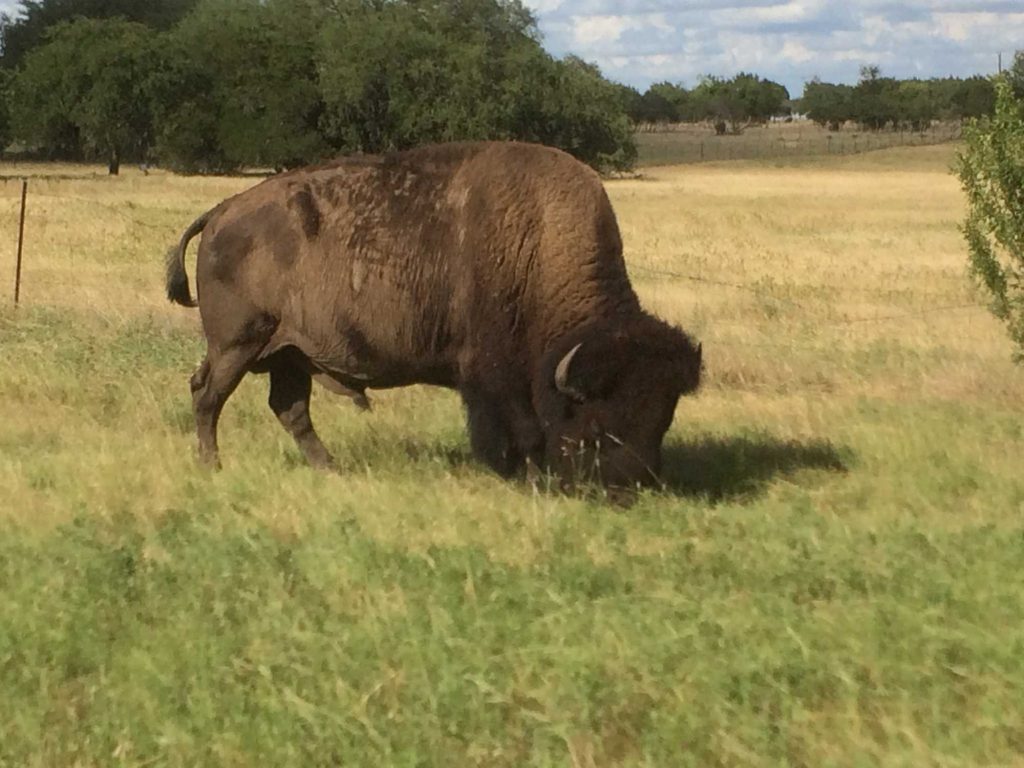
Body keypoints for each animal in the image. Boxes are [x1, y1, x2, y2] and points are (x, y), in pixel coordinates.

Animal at [166, 141, 702, 490]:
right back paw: (212, 467)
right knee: (208, 396)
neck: (536, 246)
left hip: (289, 353)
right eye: (601, 420)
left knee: (288, 408)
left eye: (663, 417)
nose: (633, 486)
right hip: (238, 344)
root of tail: (222, 211)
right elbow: (524, 431)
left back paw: (331, 469)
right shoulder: (494, 377)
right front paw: (525, 477)